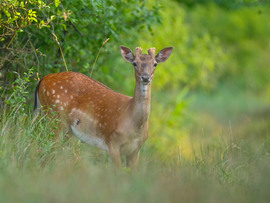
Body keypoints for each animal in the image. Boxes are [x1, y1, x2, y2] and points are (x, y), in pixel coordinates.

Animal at [34, 46, 173, 170]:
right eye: (134, 63)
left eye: (155, 64)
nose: (145, 77)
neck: (135, 126)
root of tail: (42, 79)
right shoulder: (112, 143)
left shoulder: (135, 150)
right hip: (54, 117)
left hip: (68, 129)